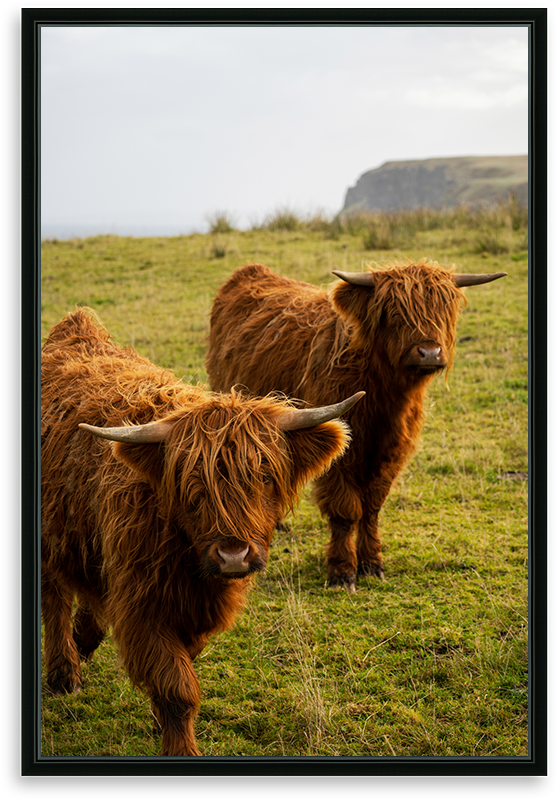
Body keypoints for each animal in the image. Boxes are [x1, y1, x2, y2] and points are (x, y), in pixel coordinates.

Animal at [41, 310, 366, 752]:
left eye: (265, 476)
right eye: (192, 486)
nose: (233, 555)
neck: (190, 566)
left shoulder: (194, 611)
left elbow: (181, 669)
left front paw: (159, 720)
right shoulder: (144, 606)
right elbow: (177, 688)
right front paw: (179, 744)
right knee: (54, 599)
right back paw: (64, 674)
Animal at [208, 260, 510, 592]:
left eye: (445, 308)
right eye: (394, 312)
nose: (429, 353)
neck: (384, 396)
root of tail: (252, 271)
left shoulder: (392, 452)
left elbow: (372, 508)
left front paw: (372, 563)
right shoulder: (340, 455)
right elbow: (345, 511)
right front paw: (342, 572)